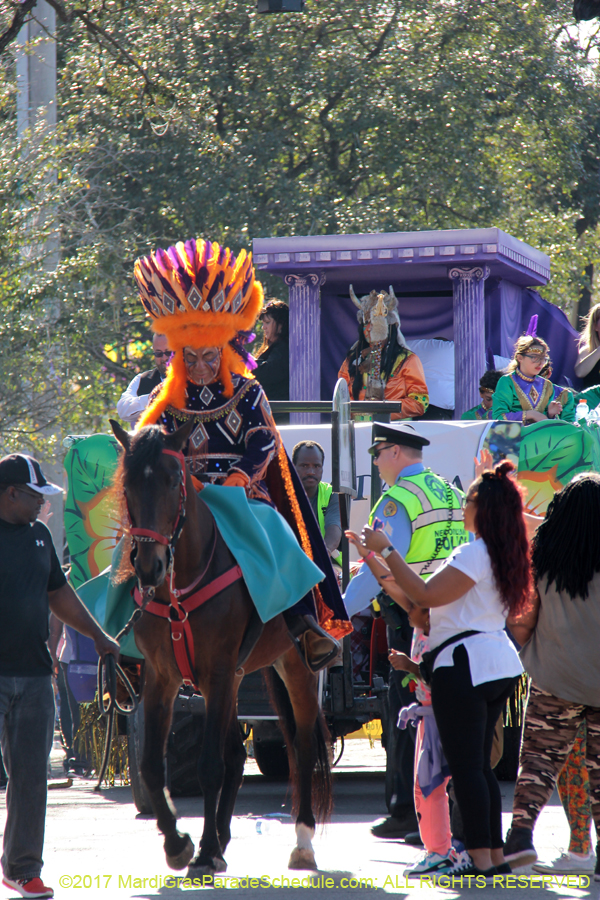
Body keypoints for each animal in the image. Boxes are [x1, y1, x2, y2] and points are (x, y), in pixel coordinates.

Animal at [109, 418, 332, 876]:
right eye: (127, 485)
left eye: (173, 480)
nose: (149, 567)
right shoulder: (164, 677)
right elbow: (152, 766)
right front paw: (179, 843)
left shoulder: (217, 670)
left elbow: (210, 765)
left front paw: (202, 848)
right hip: (236, 678)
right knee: (234, 752)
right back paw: (222, 843)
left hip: (293, 667)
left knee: (300, 747)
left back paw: (301, 842)